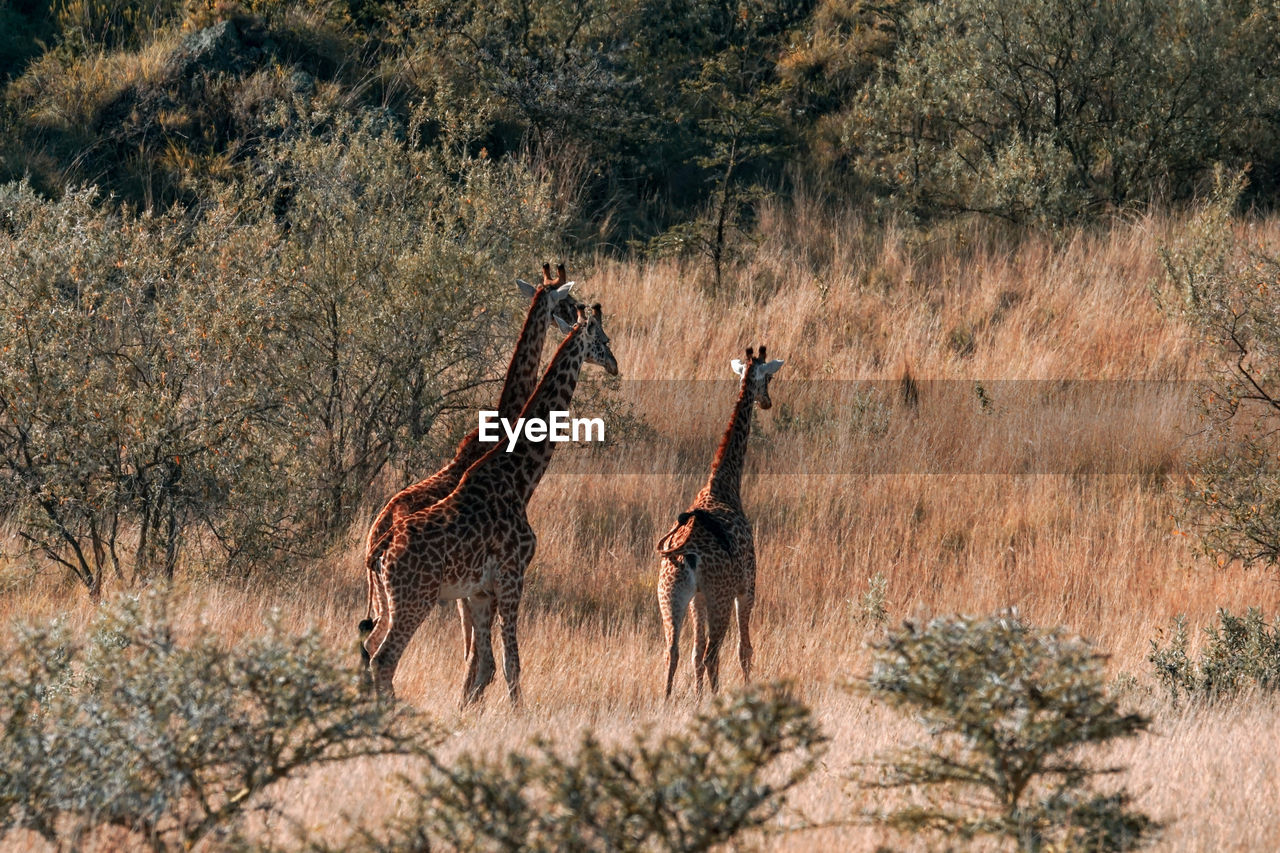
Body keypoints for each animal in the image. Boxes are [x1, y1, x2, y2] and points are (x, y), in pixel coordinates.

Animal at [366, 302, 619, 701]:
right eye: (604, 339)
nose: (615, 365)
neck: (518, 476)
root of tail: (379, 547)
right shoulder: (513, 576)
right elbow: (511, 664)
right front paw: (519, 713)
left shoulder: (481, 592)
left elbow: (485, 664)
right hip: (414, 600)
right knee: (383, 659)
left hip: (391, 602)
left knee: (370, 649)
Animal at [655, 343, 783, 696]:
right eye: (768, 379)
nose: (767, 402)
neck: (723, 485)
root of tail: (687, 555)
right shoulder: (747, 585)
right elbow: (744, 650)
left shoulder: (697, 599)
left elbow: (695, 653)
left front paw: (697, 696)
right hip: (720, 598)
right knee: (714, 653)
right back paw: (715, 698)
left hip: (671, 596)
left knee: (674, 651)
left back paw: (666, 700)